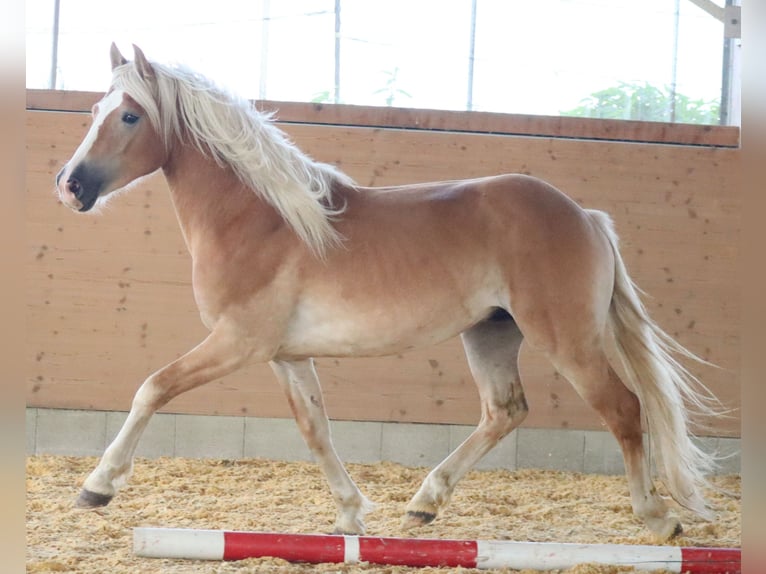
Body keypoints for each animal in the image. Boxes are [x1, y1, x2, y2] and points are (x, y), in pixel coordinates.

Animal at [55, 43, 719, 541]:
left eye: (130, 116)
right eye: (93, 109)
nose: (69, 186)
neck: (264, 218)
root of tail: (586, 216)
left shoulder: (237, 343)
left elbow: (152, 388)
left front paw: (97, 486)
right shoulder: (286, 356)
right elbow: (316, 430)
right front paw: (351, 514)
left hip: (567, 339)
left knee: (624, 408)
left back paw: (658, 518)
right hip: (491, 333)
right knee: (504, 411)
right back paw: (424, 503)